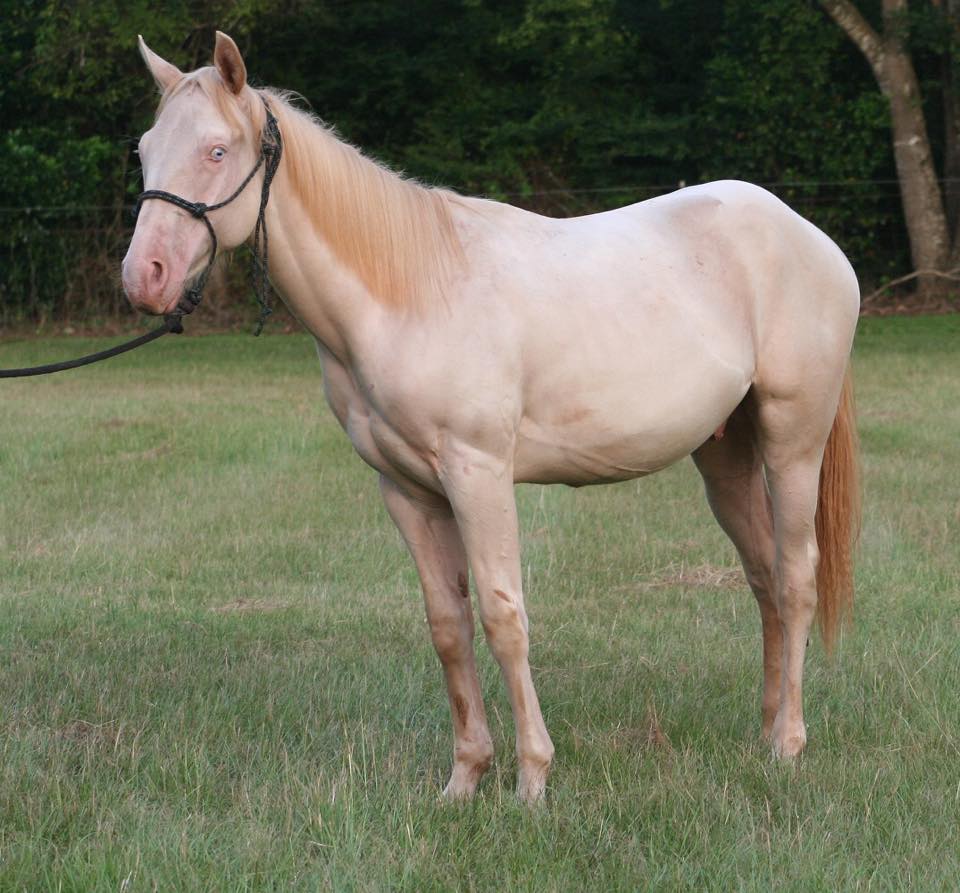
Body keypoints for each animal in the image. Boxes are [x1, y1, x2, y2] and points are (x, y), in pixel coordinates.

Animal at [122, 32, 861, 802]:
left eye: (216, 150)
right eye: (144, 150)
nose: (144, 277)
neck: (410, 292)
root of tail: (808, 235)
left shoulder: (478, 473)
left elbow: (504, 616)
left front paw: (533, 778)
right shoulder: (408, 490)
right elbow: (448, 626)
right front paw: (465, 778)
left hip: (792, 441)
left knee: (796, 578)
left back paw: (789, 744)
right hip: (725, 457)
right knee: (764, 579)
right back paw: (765, 731)